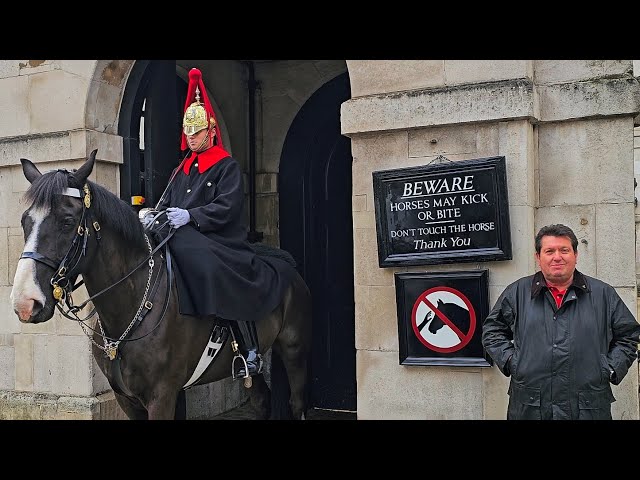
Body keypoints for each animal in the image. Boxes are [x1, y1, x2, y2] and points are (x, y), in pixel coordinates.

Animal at [8, 151, 312, 420]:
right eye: (25, 220)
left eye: (68, 221)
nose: (25, 303)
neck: (133, 307)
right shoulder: (127, 400)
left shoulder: (162, 396)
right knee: (261, 400)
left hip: (294, 348)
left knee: (297, 403)